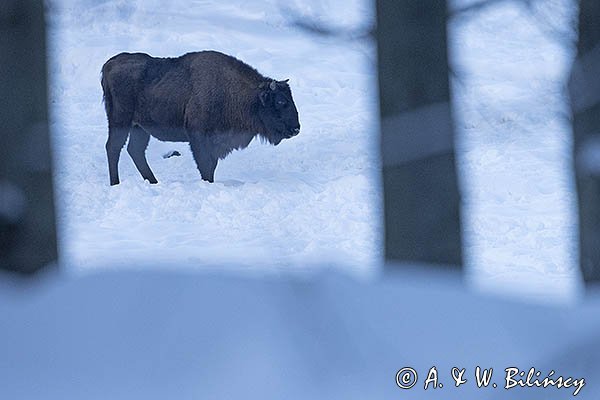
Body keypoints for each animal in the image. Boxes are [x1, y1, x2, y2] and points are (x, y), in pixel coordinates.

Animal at [102, 50, 304, 186]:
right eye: (281, 101)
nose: (296, 129)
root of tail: (109, 64)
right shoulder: (199, 138)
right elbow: (206, 166)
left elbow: (211, 165)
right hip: (120, 121)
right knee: (114, 148)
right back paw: (115, 183)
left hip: (140, 128)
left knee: (135, 150)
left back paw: (153, 182)